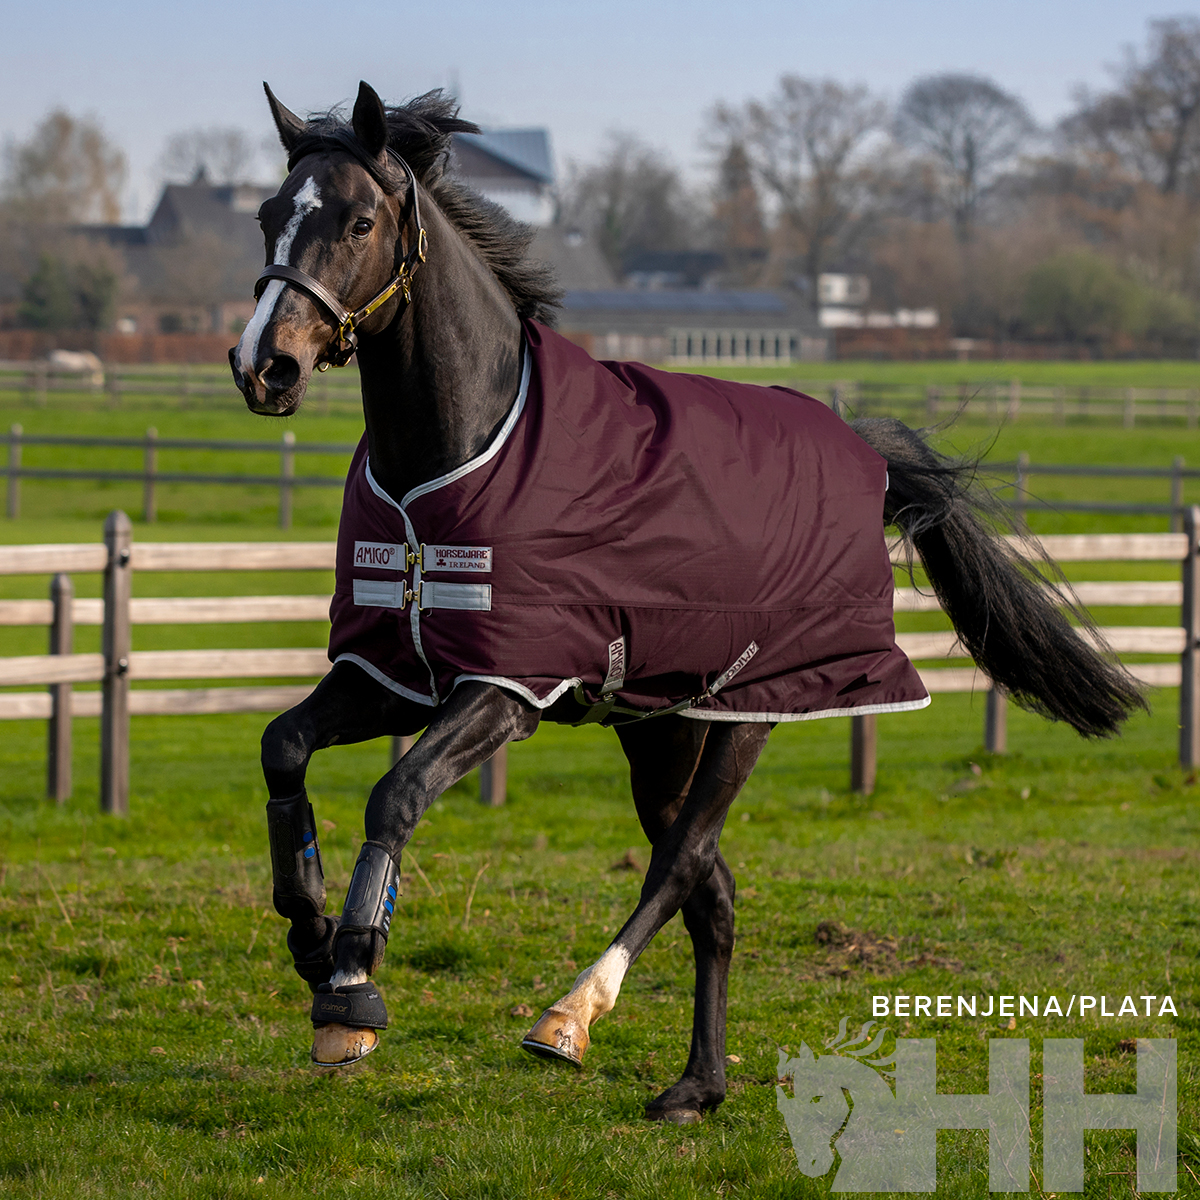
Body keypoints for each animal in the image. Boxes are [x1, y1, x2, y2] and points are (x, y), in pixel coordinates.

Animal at [228, 80, 1143, 1124]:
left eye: (360, 221)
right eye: (268, 213)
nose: (264, 366)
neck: (454, 460)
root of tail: (860, 450)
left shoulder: (508, 687)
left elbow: (398, 793)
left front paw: (352, 989)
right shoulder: (394, 671)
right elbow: (284, 746)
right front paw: (308, 940)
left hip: (749, 714)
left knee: (680, 865)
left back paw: (571, 1018)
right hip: (662, 729)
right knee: (715, 888)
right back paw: (696, 1083)